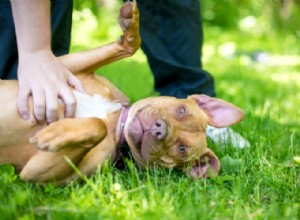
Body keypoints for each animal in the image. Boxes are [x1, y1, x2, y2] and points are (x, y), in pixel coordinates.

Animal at [0, 0, 245, 185]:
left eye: (182, 149)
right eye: (181, 110)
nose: (160, 129)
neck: (118, 123)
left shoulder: (40, 173)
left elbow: (96, 125)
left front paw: (56, 133)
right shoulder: (64, 67)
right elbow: (130, 47)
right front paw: (131, 25)